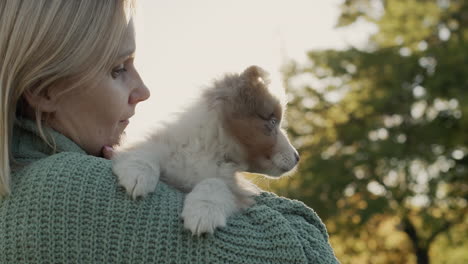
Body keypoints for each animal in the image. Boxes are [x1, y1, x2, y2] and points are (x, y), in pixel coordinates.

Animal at [111, 65, 298, 235]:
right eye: (272, 121)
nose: (297, 157)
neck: (210, 149)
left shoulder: (235, 187)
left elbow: (215, 182)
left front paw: (203, 213)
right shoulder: (166, 147)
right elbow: (147, 152)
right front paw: (137, 175)